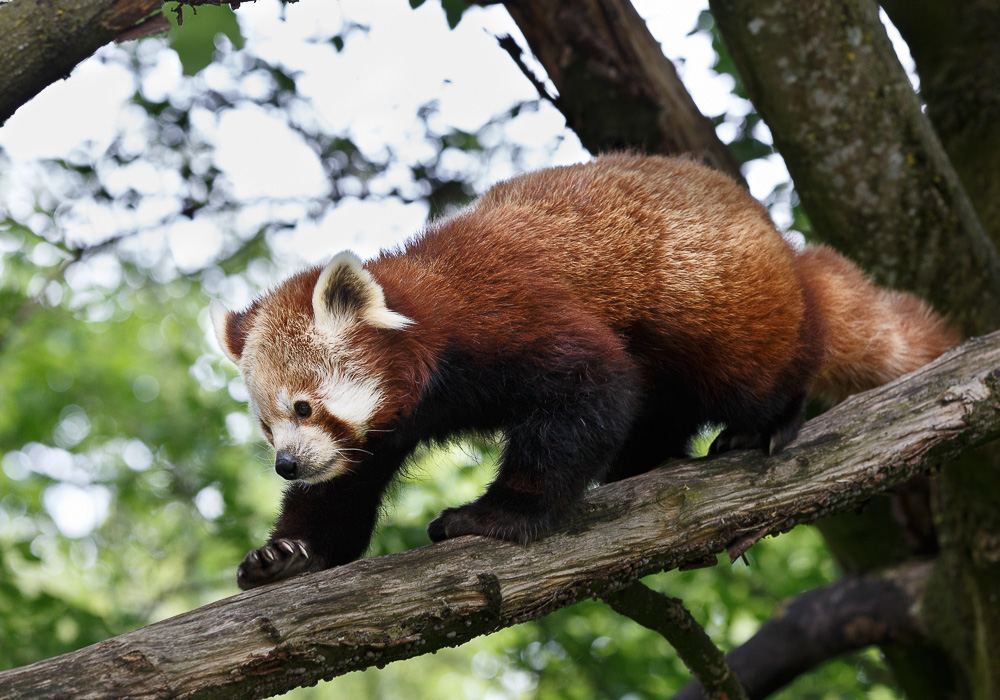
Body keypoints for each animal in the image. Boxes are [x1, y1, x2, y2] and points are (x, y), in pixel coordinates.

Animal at [213, 154, 960, 592]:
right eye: (267, 426)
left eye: (304, 406)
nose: (285, 463)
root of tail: (777, 239)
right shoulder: (388, 422)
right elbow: (341, 488)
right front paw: (289, 554)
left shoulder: (510, 319)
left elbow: (590, 393)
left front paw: (496, 515)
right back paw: (645, 462)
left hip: (726, 304)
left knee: (753, 371)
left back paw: (761, 427)